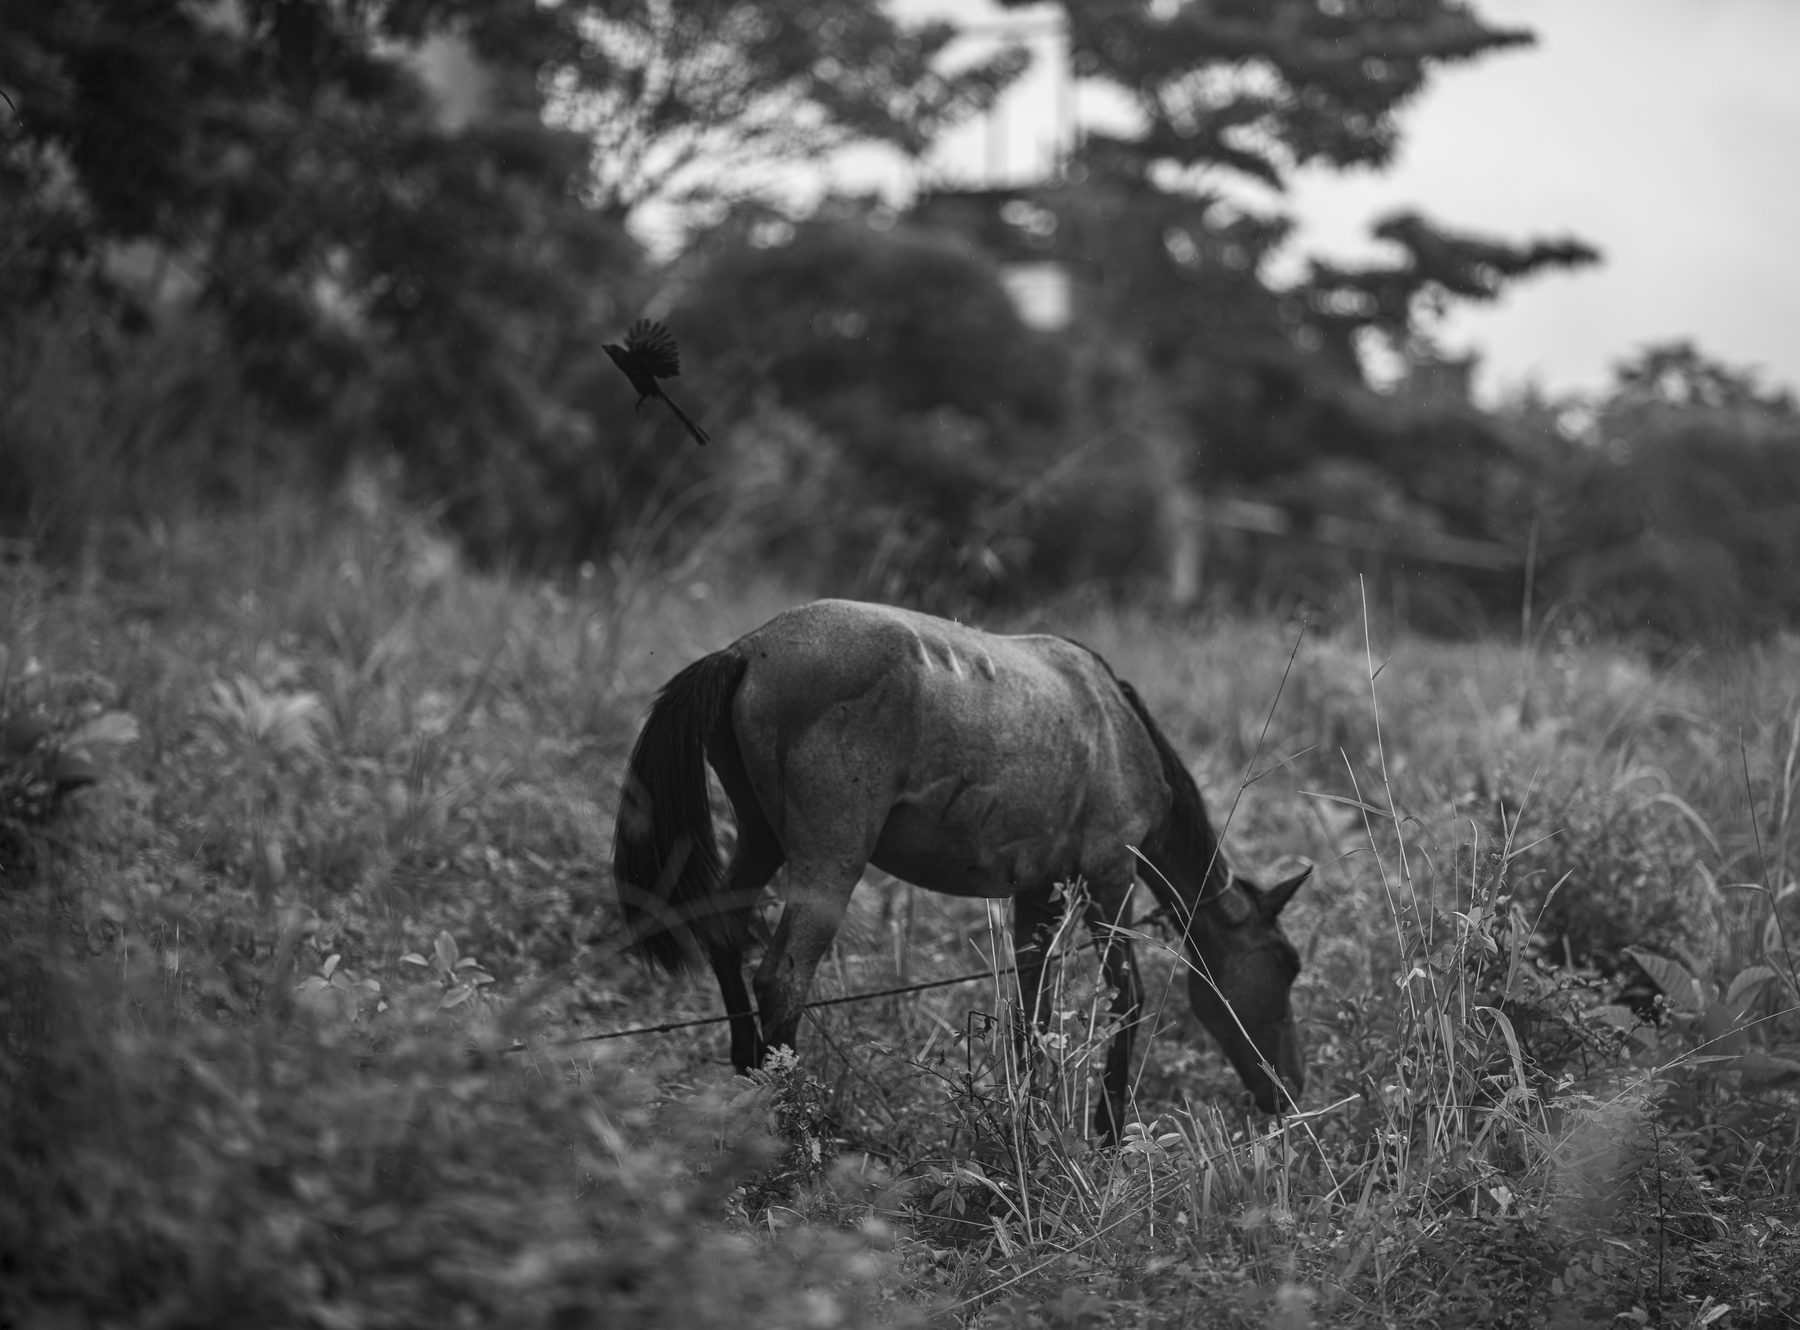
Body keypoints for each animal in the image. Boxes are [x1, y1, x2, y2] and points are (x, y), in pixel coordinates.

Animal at [610, 599, 1309, 1139]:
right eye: (1287, 965)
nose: (1289, 1093)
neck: (1117, 728)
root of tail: (747, 650)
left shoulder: (1038, 894)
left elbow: (1033, 1009)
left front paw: (1031, 1120)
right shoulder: (1111, 874)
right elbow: (1125, 997)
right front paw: (1108, 1131)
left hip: (760, 837)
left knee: (724, 931)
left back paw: (748, 1074)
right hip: (829, 859)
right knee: (783, 977)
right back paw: (793, 1125)